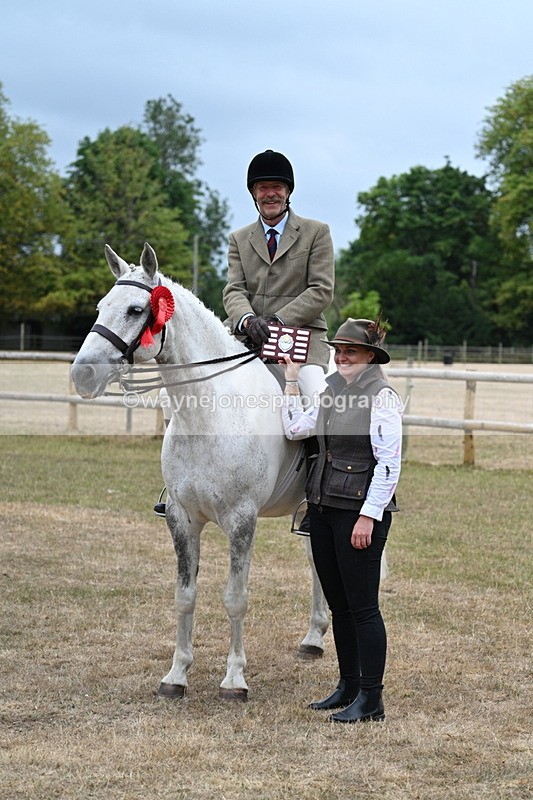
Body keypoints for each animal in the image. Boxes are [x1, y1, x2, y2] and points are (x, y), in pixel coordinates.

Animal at [70, 242, 329, 701]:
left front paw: (235, 679)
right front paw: (176, 675)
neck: (208, 414)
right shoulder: (182, 517)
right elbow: (185, 596)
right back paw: (313, 640)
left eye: (136, 310)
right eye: (101, 306)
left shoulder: (241, 520)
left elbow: (235, 598)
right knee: (317, 560)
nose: (83, 374)